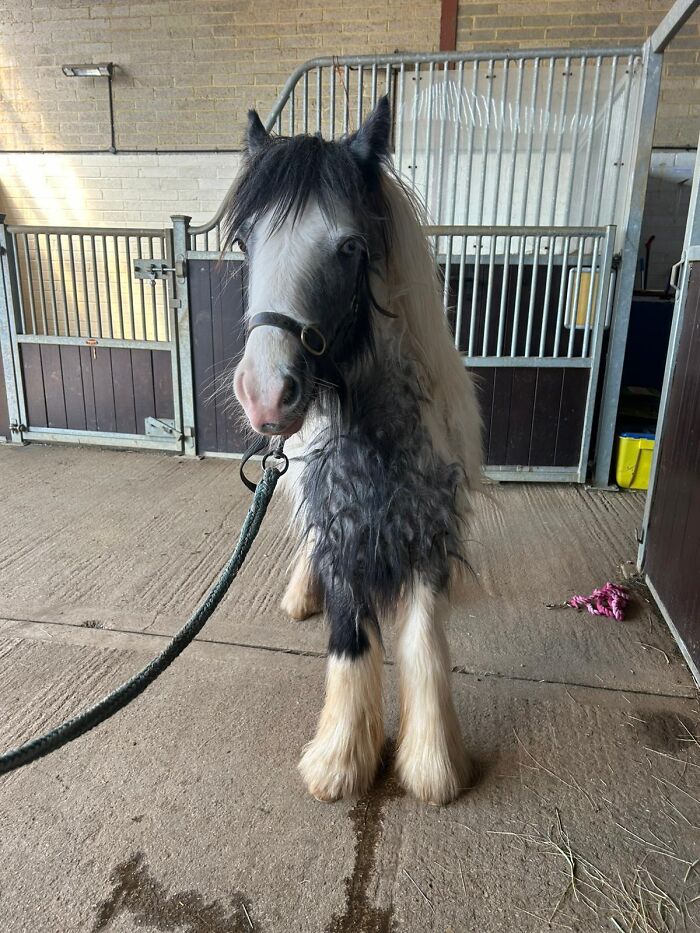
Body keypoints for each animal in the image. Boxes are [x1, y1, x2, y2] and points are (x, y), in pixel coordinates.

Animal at [224, 96, 482, 805]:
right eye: (245, 241)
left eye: (350, 247)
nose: (264, 394)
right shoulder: (340, 529)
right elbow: (348, 636)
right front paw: (341, 761)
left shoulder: (427, 528)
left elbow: (424, 641)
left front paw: (433, 765)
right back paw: (300, 594)